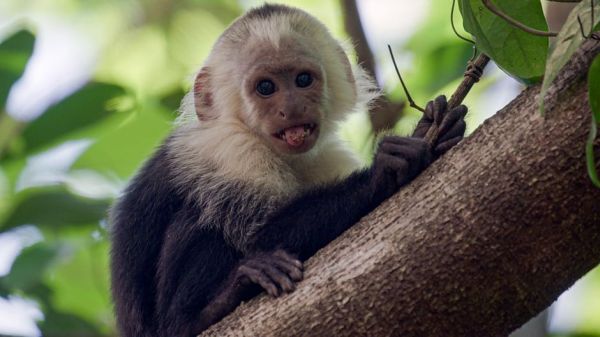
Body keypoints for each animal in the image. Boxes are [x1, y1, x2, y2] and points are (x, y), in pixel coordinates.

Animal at [109, 3, 468, 336]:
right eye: (266, 87)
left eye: (303, 80)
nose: (292, 107)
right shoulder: (232, 149)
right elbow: (259, 235)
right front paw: (382, 170)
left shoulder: (327, 156)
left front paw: (436, 129)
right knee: (199, 219)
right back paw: (200, 313)